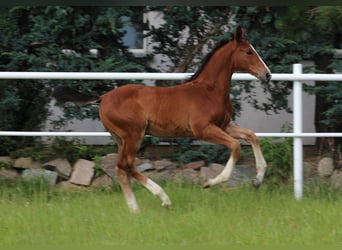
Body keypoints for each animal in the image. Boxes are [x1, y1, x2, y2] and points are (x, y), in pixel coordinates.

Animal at [53, 26, 272, 212]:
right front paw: (210, 183)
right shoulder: (203, 129)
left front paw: (257, 181)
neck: (209, 91)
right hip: (134, 134)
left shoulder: (223, 125)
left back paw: (134, 209)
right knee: (127, 164)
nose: (267, 75)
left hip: (120, 138)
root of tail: (103, 97)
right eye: (248, 52)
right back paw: (163, 198)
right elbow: (235, 146)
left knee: (120, 168)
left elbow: (252, 136)